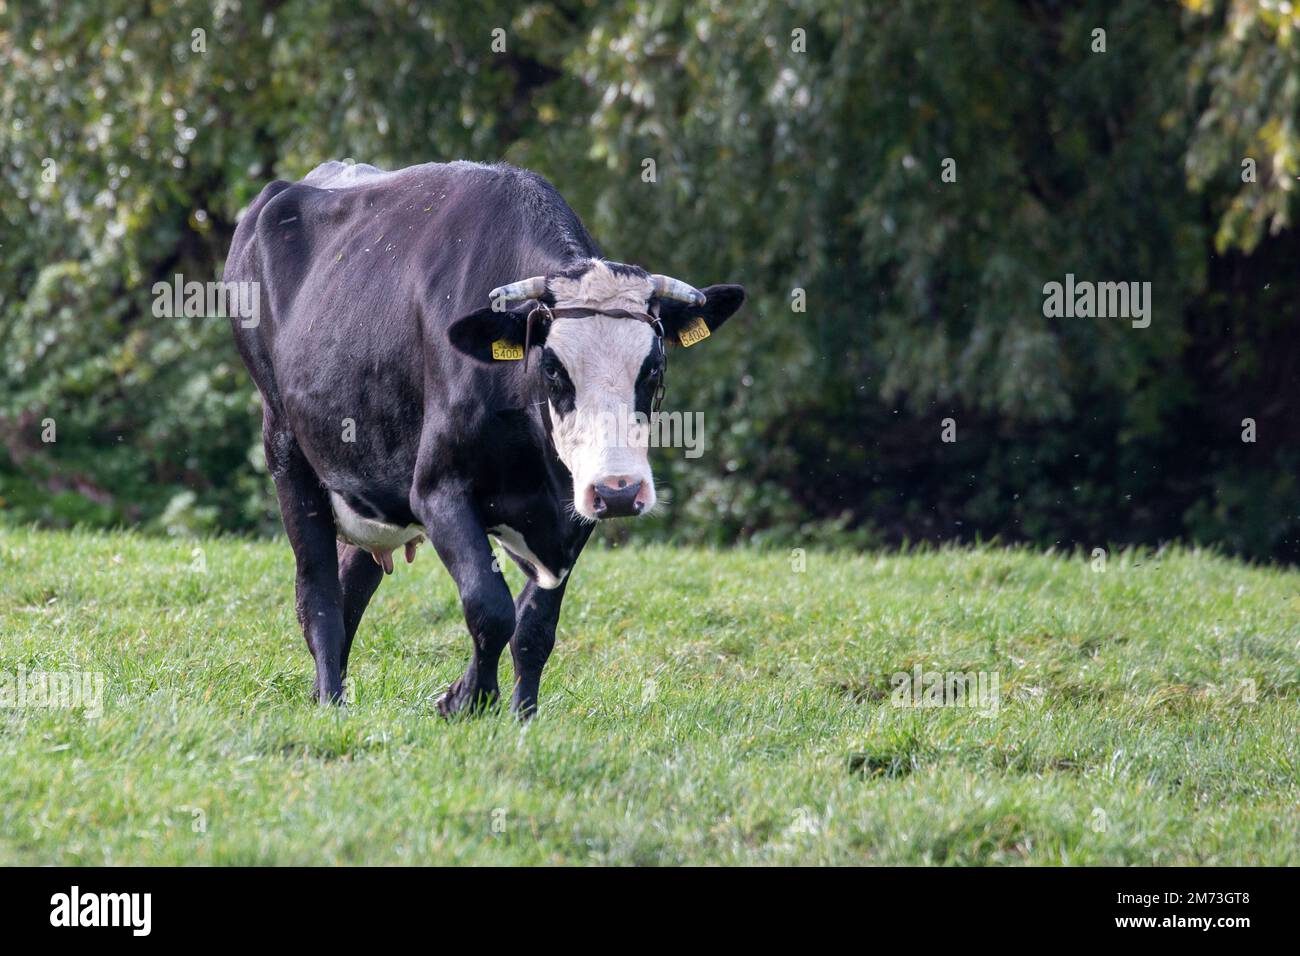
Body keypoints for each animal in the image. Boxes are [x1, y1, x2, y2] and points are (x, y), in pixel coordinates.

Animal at [225, 160, 746, 717]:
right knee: (317, 592)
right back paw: (328, 699)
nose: (620, 491)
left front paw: (520, 713)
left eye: (654, 369)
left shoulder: (572, 511)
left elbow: (534, 625)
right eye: (552, 369)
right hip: (285, 444)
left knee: (352, 587)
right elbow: (490, 606)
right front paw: (469, 701)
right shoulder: (437, 490)